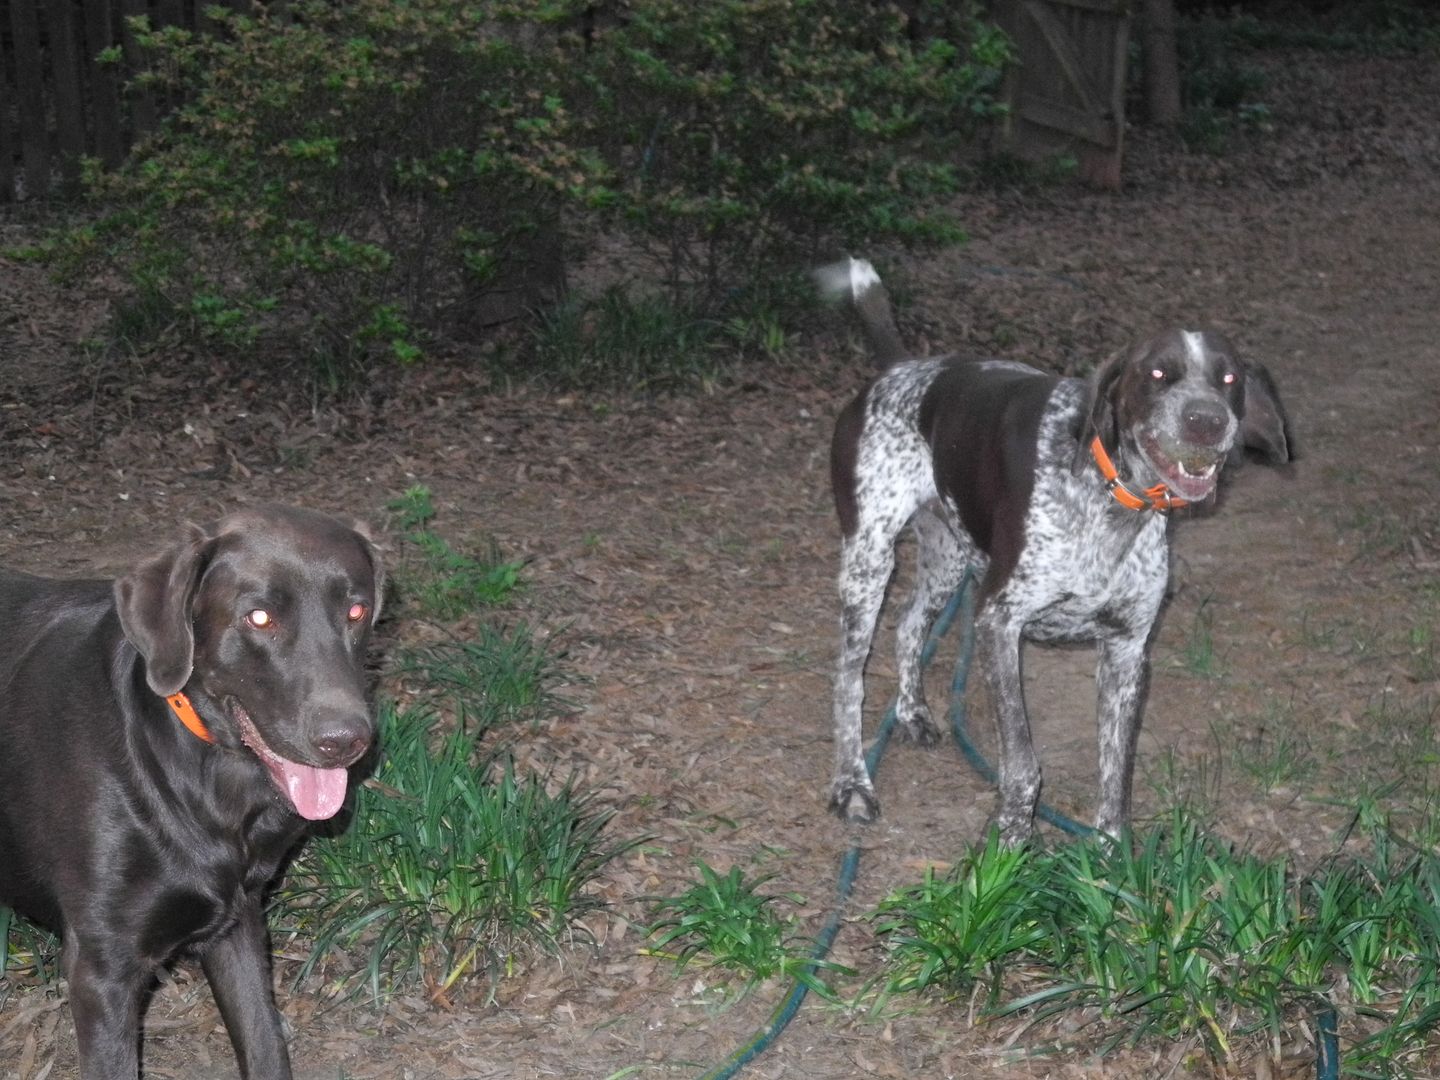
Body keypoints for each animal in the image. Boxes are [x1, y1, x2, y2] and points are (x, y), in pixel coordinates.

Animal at [823, 262, 1296, 846]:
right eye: (1158, 374)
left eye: (1229, 380)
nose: (1207, 421)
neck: (1111, 497)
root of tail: (902, 369)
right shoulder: (998, 623)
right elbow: (1023, 766)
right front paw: (1009, 848)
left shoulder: (1126, 650)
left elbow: (1116, 771)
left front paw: (1113, 856)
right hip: (869, 561)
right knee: (848, 677)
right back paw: (852, 784)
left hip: (947, 555)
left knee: (910, 625)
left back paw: (912, 714)